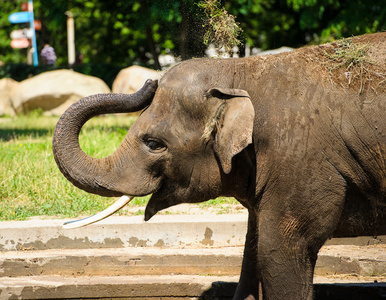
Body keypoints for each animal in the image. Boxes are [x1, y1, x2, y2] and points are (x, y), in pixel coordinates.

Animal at [52, 31, 386, 298]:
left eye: (154, 144)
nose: (149, 81)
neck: (240, 73)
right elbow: (254, 248)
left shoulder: (299, 163)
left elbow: (278, 250)